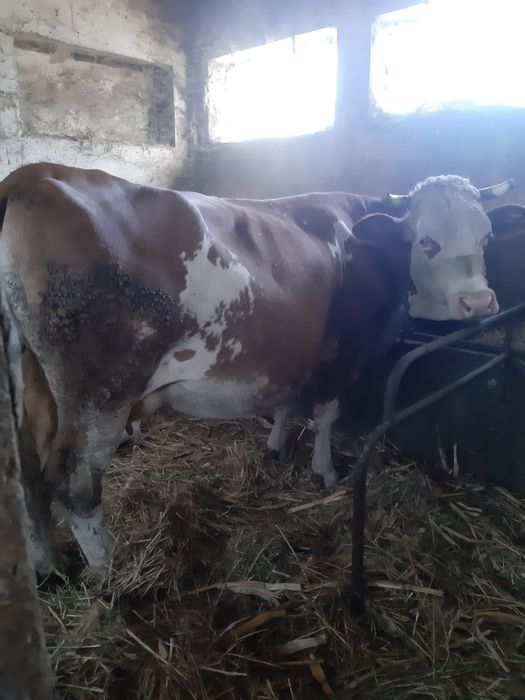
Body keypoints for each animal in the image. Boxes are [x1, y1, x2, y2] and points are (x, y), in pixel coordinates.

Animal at [0, 164, 512, 574]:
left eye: (486, 236)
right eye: (426, 241)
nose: (479, 302)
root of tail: (31, 175)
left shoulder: (291, 352)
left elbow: (286, 401)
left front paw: (276, 446)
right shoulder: (346, 349)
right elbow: (325, 413)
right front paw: (323, 471)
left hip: (28, 384)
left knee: (26, 478)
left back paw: (48, 565)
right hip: (99, 391)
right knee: (73, 482)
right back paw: (109, 570)